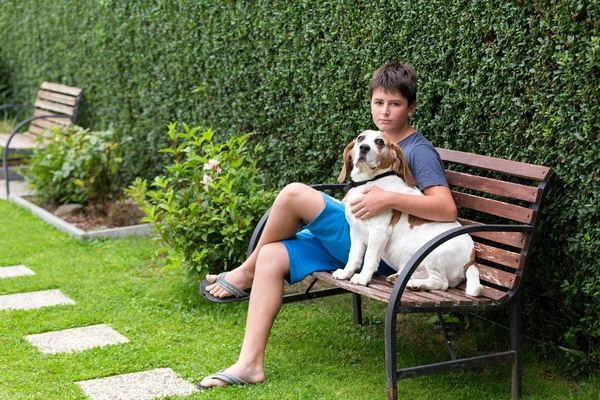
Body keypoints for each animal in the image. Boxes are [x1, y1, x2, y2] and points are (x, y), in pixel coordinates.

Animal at [330, 130, 486, 296]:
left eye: (379, 142)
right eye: (361, 138)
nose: (364, 147)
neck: (369, 181)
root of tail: (472, 258)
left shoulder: (379, 232)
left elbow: (370, 259)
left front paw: (363, 278)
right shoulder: (356, 232)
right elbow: (353, 257)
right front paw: (346, 273)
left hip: (434, 255)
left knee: (442, 283)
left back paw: (415, 284)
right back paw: (399, 278)